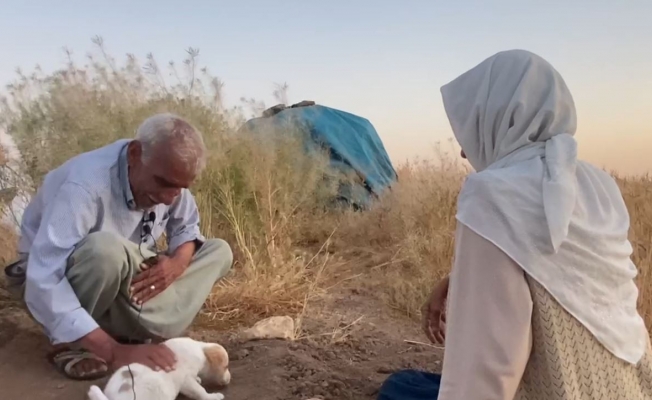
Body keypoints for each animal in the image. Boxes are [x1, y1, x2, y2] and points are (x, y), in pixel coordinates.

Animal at [85, 338, 230, 400]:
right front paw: (213, 396)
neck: (201, 350)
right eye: (226, 366)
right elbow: (200, 391)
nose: (229, 379)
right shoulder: (186, 380)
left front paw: (199, 379)